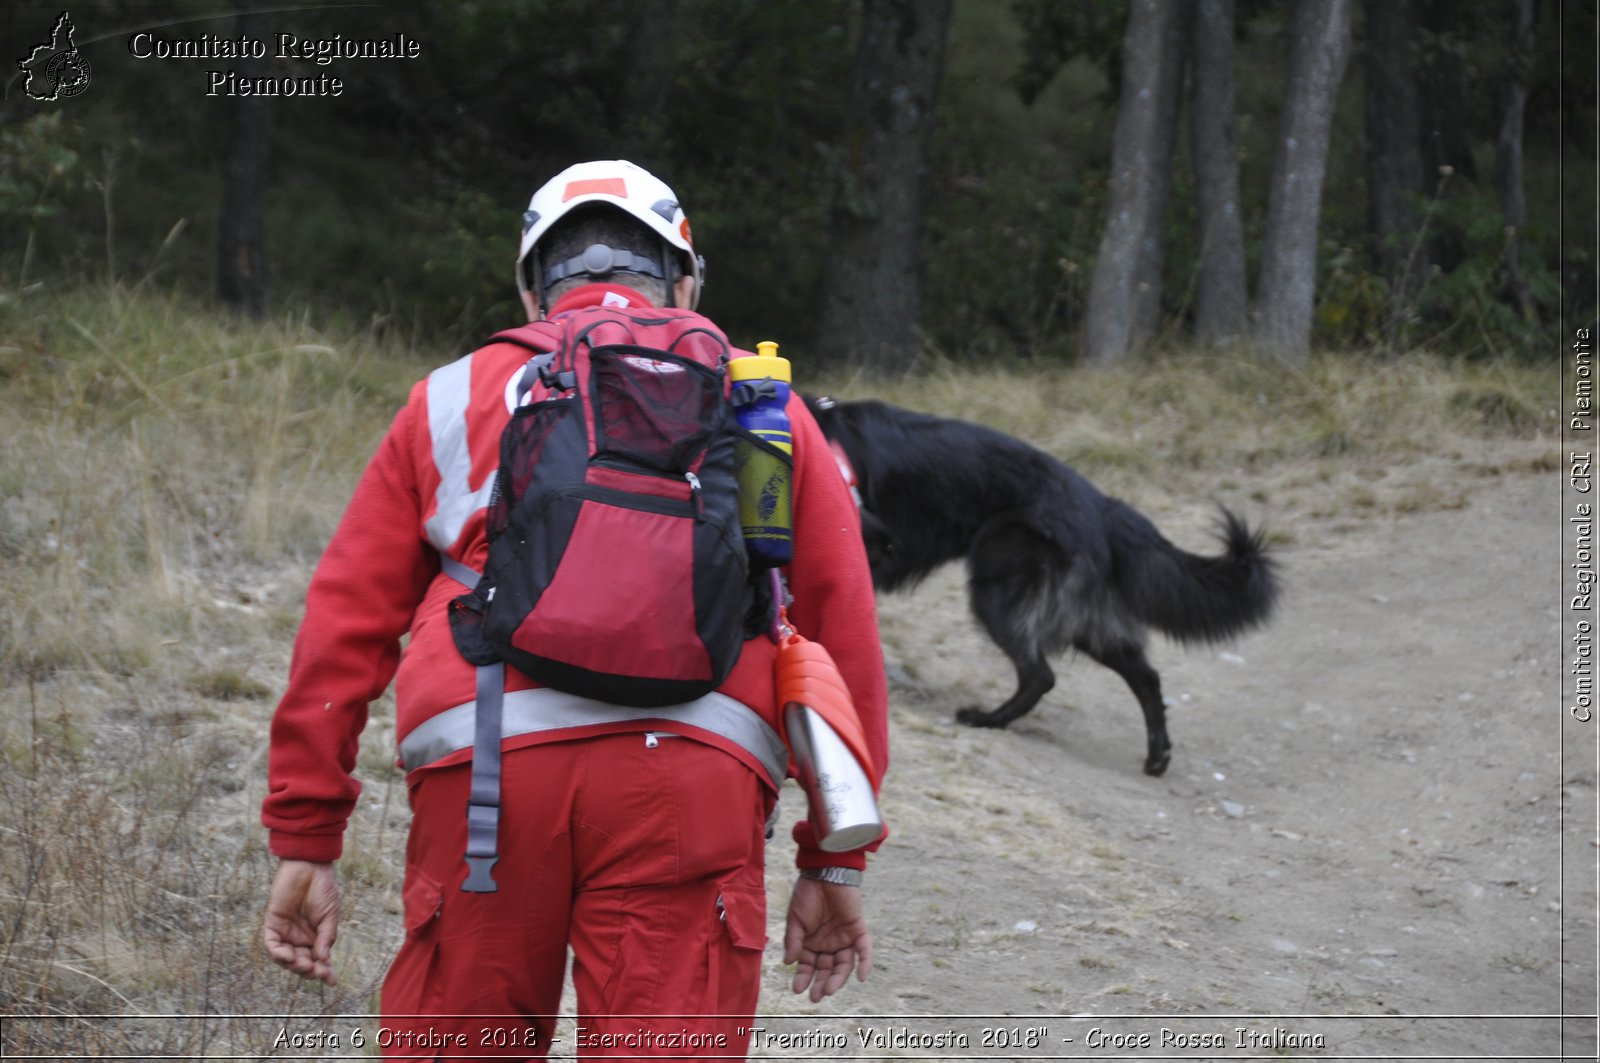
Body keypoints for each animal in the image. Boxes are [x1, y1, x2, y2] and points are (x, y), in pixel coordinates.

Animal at [806, 393, 1280, 778]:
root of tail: (1100, 504)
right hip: (1085, 622)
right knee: (1145, 676)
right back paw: (1157, 756)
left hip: (998, 592)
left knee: (1040, 674)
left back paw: (988, 720)